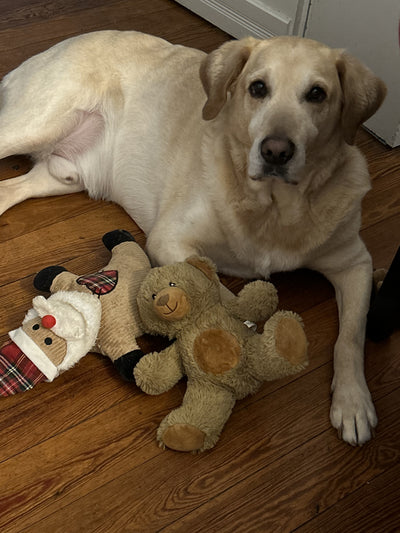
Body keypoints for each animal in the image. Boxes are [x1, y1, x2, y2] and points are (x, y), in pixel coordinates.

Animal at [0, 30, 388, 444]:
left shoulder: (355, 263)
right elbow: (217, 289)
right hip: (37, 123)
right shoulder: (168, 239)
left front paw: (353, 403)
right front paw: (235, 333)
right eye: (258, 88)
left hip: (63, 177)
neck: (273, 208)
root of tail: (58, 45)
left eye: (317, 94)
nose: (276, 151)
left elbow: (352, 335)